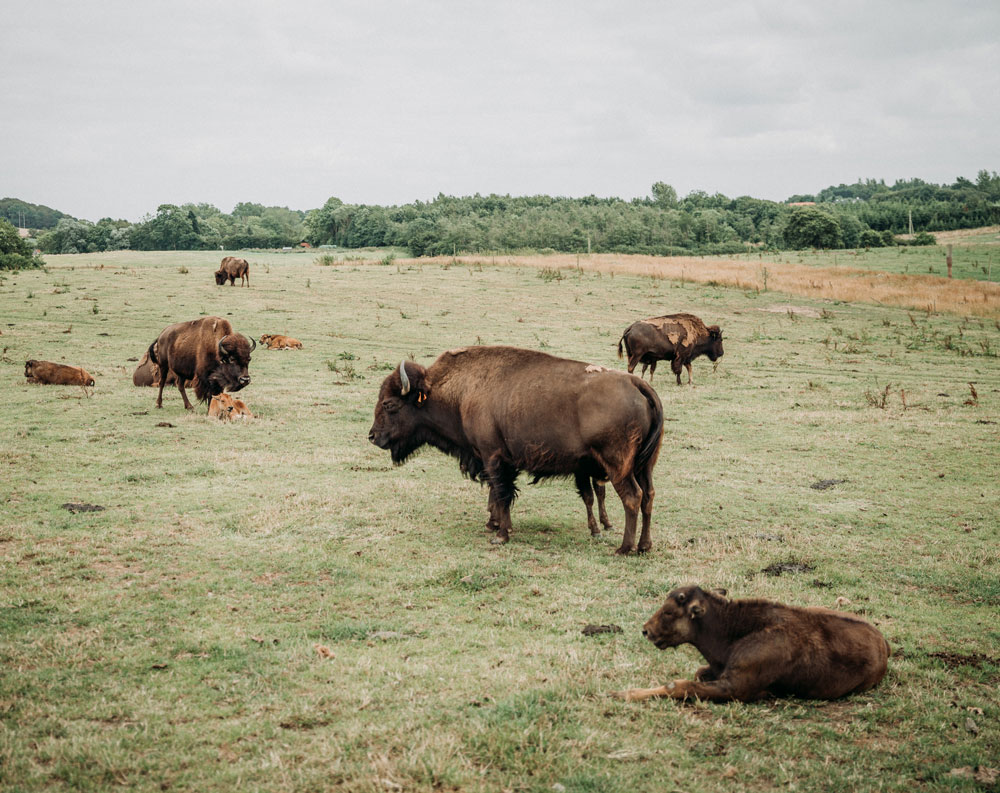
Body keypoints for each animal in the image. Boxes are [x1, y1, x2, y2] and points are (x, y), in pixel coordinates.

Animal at [368, 344, 664, 552]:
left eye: (389, 404)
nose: (373, 436)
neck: (461, 392)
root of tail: (638, 384)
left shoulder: (493, 457)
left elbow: (501, 493)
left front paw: (501, 535)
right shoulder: (493, 459)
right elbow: (497, 493)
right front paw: (495, 525)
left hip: (618, 467)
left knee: (632, 497)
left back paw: (624, 548)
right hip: (645, 466)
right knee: (648, 496)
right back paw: (644, 546)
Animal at [616, 584, 892, 704]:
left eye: (669, 611)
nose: (646, 630)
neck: (734, 631)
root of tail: (882, 642)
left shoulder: (734, 687)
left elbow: (680, 686)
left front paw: (624, 693)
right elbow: (697, 674)